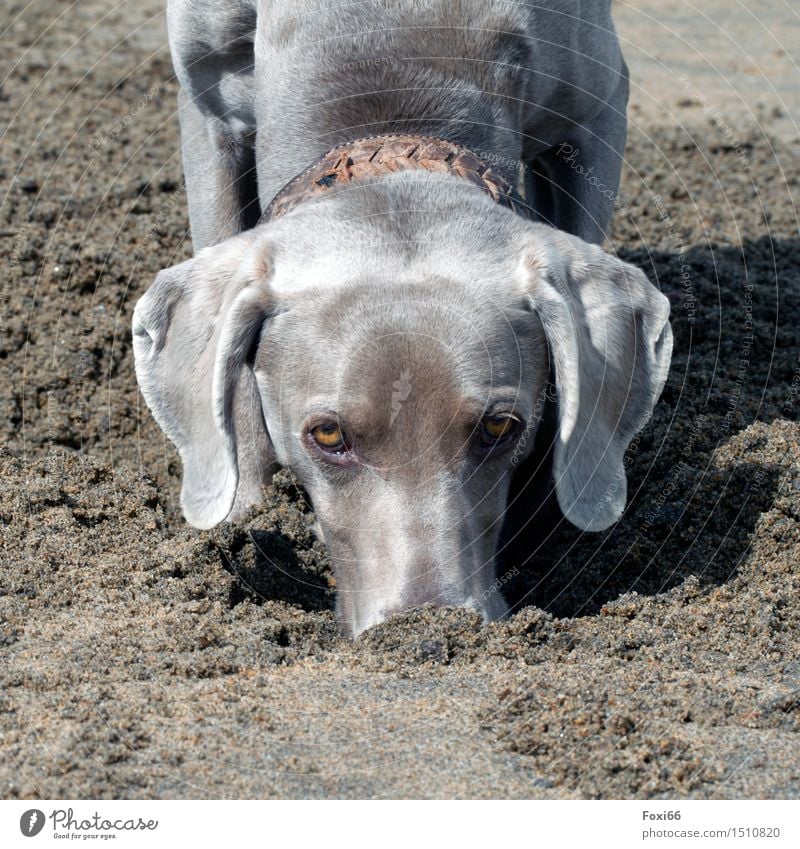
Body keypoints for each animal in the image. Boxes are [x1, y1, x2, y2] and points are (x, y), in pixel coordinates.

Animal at [134, 1, 672, 636]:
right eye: (328, 436)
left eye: (499, 427)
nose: (429, 630)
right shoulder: (206, 102)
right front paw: (239, 512)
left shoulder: (596, 109)